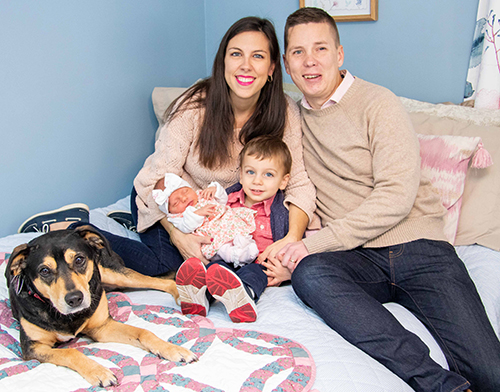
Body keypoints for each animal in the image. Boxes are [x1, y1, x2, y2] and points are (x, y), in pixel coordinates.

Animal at [6, 225, 197, 388]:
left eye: (79, 259)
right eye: (44, 271)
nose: (75, 299)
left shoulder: (101, 326)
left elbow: (144, 332)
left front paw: (174, 349)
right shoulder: (33, 347)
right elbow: (71, 352)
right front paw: (99, 372)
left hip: (114, 274)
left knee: (160, 281)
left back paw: (181, 293)